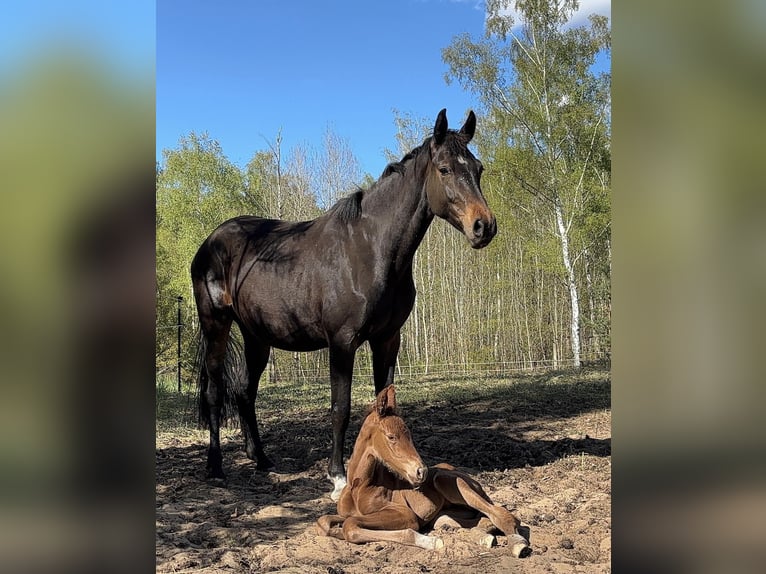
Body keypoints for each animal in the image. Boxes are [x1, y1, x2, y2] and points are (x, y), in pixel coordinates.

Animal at [191, 108, 496, 498]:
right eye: (444, 169)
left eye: (478, 168)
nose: (483, 227)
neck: (369, 249)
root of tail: (210, 242)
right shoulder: (342, 343)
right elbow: (341, 406)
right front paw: (337, 475)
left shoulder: (387, 340)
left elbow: (386, 404)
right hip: (215, 325)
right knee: (216, 393)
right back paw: (215, 467)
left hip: (256, 336)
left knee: (246, 394)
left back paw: (261, 459)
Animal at [316, 385, 531, 557]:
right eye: (391, 437)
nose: (421, 472)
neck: (360, 486)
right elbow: (325, 521)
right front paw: (335, 530)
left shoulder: (405, 514)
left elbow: (351, 525)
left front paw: (430, 542)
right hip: (445, 515)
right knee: (479, 520)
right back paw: (483, 538)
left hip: (447, 481)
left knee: (502, 515)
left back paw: (517, 544)